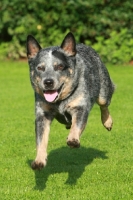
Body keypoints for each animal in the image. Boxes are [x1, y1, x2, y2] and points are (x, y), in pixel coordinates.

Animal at [26, 32, 114, 170]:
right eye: (40, 68)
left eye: (60, 66)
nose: (48, 82)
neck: (60, 102)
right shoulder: (42, 115)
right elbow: (41, 140)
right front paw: (39, 160)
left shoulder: (80, 107)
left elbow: (77, 125)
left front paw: (73, 139)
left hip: (104, 91)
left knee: (104, 104)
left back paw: (107, 122)